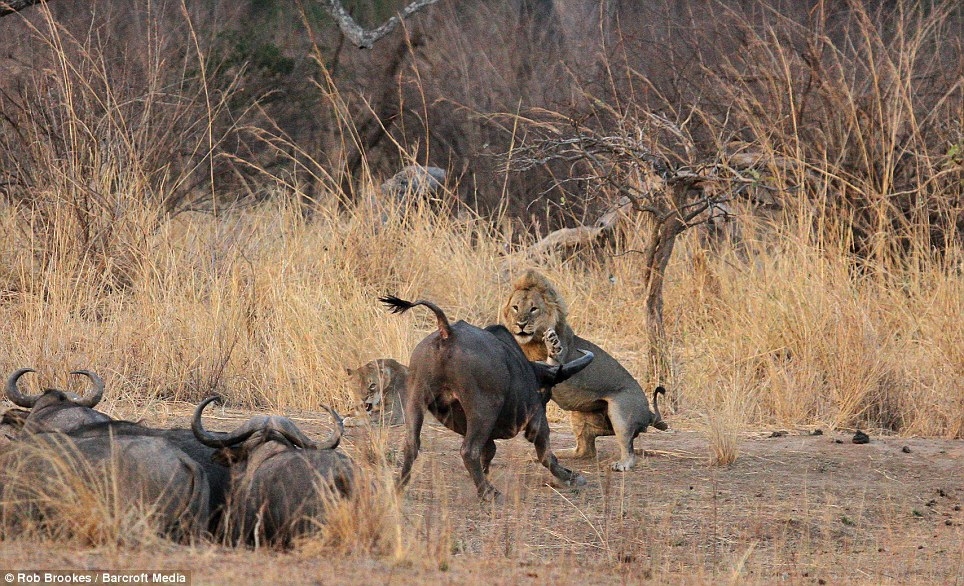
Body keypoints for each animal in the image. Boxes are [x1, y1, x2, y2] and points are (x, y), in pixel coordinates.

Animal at [378, 294, 596, 500]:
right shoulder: (536, 418)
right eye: (547, 394)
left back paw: (399, 486)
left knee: (411, 444)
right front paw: (571, 477)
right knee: (468, 450)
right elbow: (545, 452)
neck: (530, 372)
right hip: (483, 409)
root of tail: (448, 332)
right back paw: (488, 492)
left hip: (416, 398)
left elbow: (490, 450)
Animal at [500, 270, 668, 470]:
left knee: (628, 449)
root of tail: (649, 413)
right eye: (515, 307)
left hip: (621, 412)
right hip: (578, 413)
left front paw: (552, 344)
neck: (530, 343)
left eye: (533, 309)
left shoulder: (555, 367)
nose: (521, 324)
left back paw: (622, 464)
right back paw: (556, 453)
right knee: (585, 451)